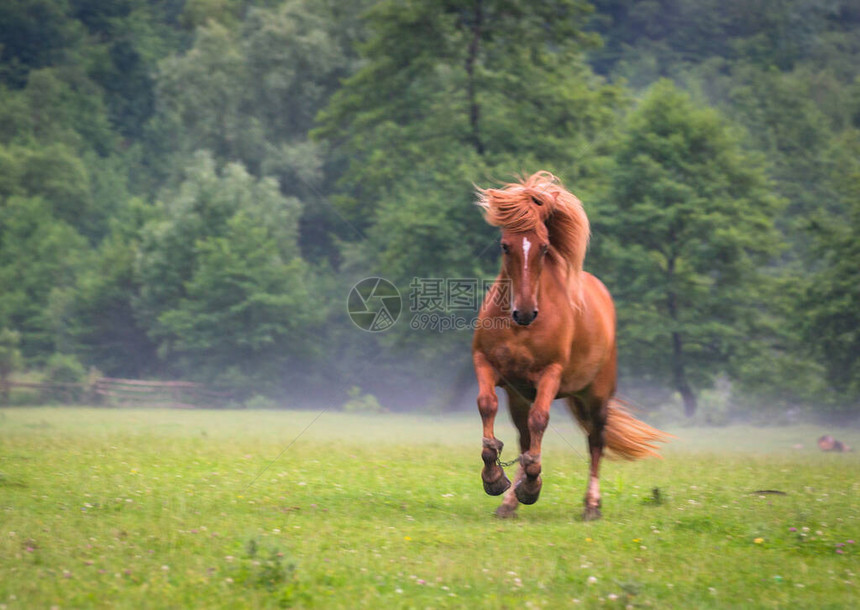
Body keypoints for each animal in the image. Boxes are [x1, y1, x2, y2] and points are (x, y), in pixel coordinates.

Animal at [474, 170, 668, 516]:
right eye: (505, 245)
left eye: (543, 247)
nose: (525, 312)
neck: (520, 329)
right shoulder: (488, 365)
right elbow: (487, 405)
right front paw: (495, 477)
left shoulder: (551, 373)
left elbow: (541, 420)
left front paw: (533, 484)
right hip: (520, 397)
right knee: (525, 437)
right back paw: (510, 504)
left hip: (598, 396)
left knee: (595, 443)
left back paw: (591, 505)